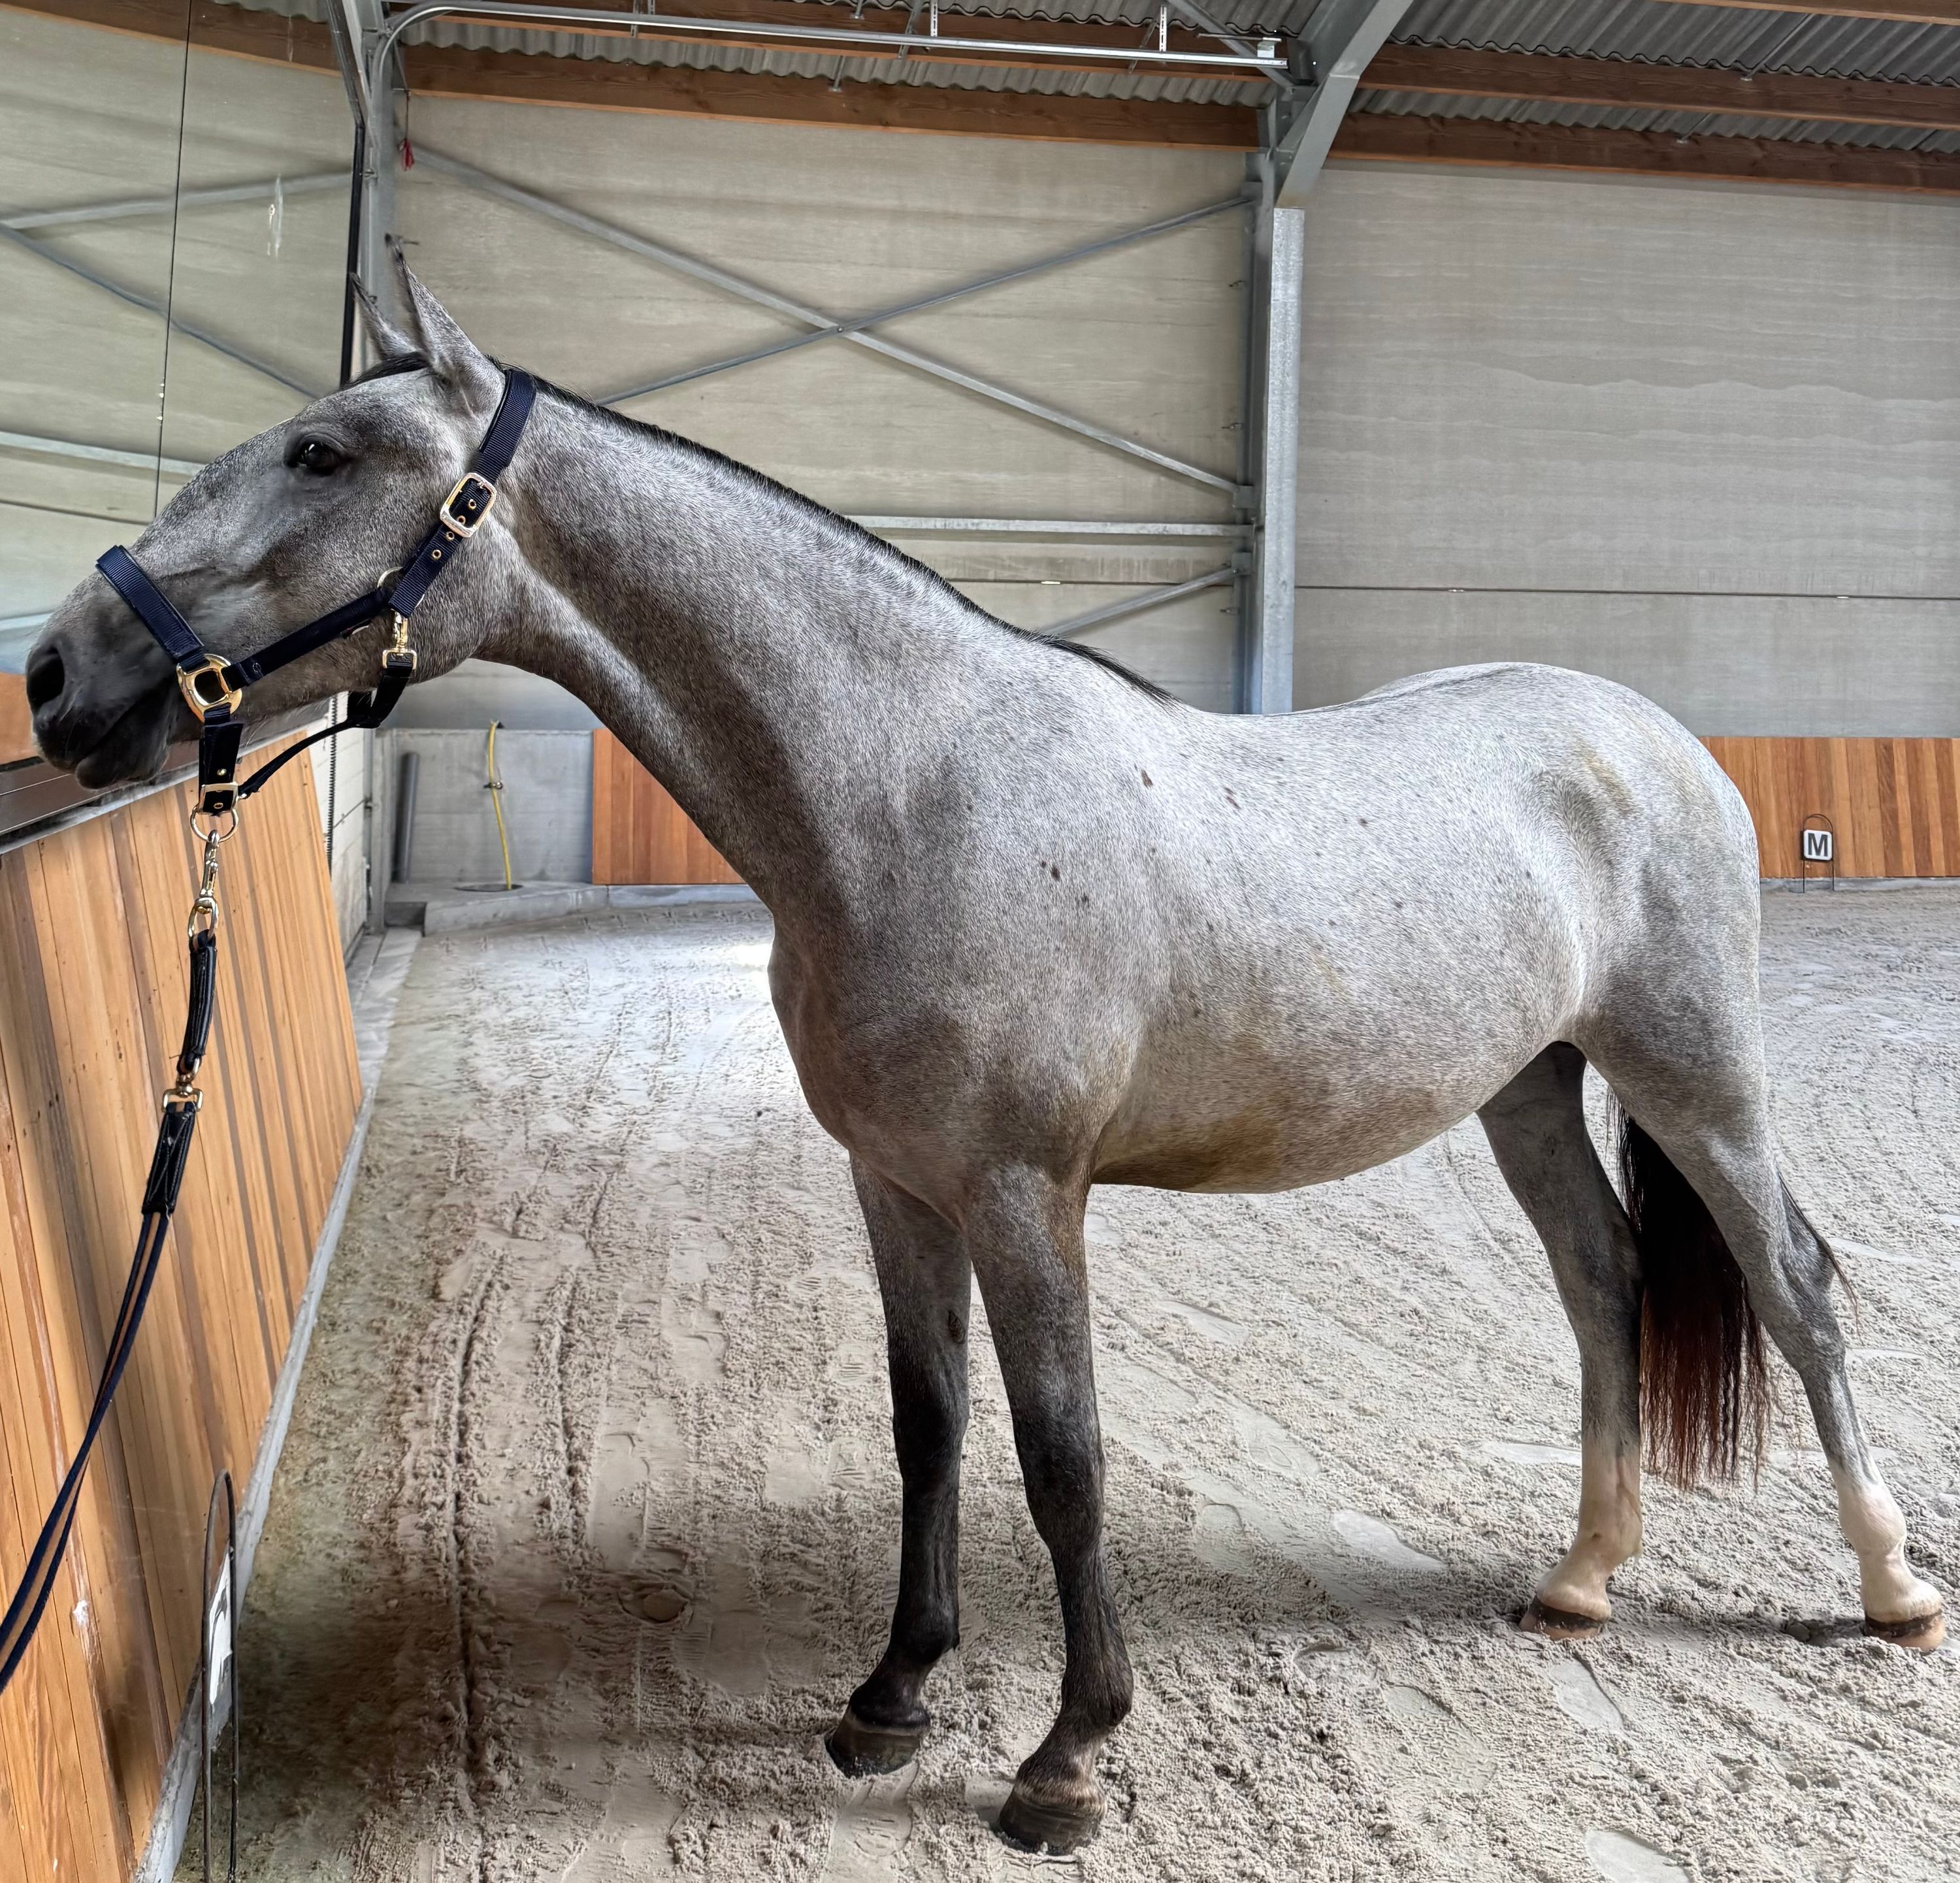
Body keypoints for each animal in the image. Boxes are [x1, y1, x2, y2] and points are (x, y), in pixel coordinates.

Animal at [25, 257, 1942, 1856]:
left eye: (323, 450)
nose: (56, 672)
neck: (910, 793)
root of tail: (1650, 740)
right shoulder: (896, 1181)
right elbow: (928, 1423)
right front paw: (890, 1694)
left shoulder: (1028, 1194)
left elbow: (1061, 1448)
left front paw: (1066, 1756)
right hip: (1529, 1088)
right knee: (1602, 1281)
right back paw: (1583, 1576)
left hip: (1697, 1079)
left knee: (1796, 1285)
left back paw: (1887, 1584)